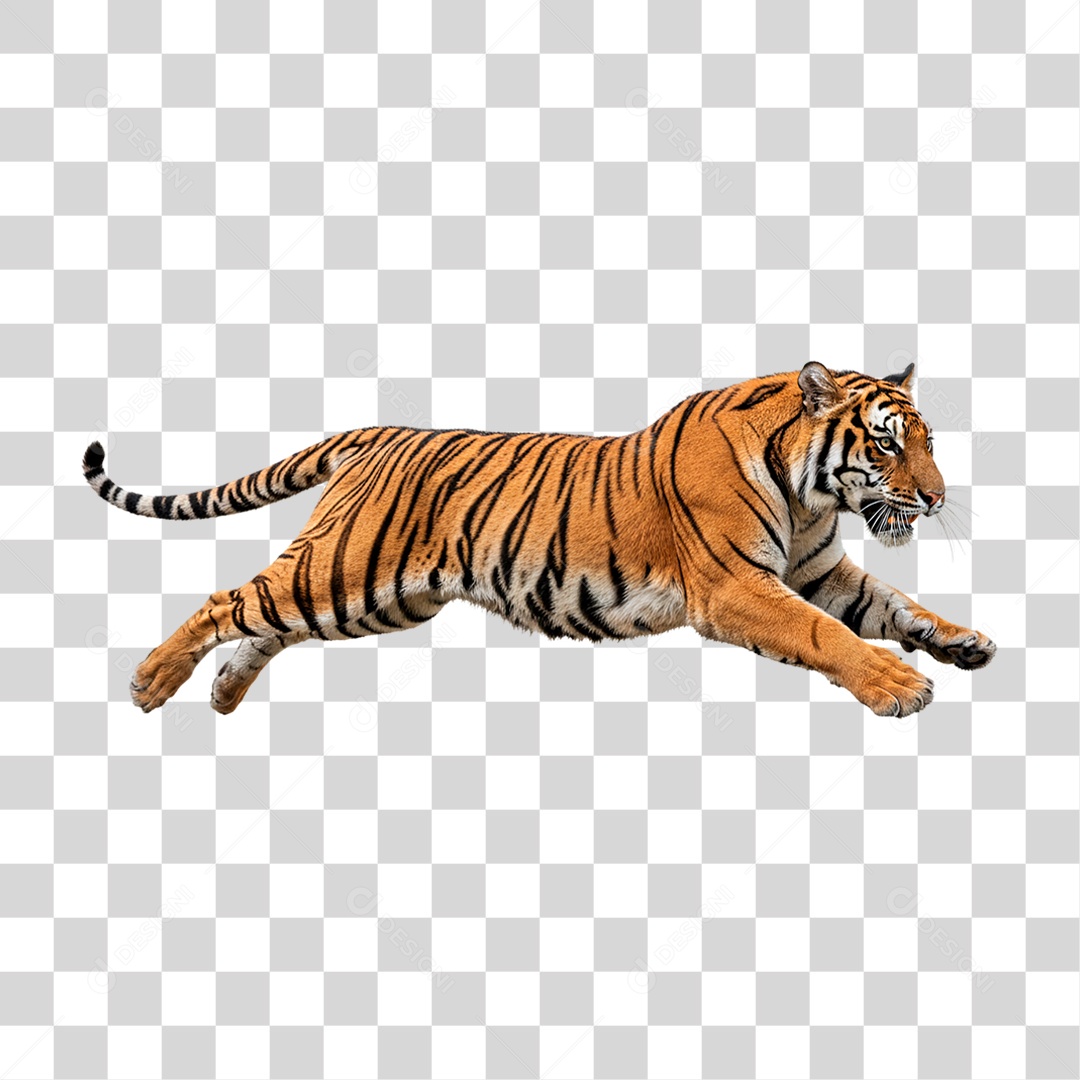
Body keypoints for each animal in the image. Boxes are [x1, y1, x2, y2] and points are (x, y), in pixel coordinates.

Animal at [83, 361, 995, 719]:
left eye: (929, 441)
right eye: (888, 445)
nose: (937, 498)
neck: (812, 497)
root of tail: (376, 434)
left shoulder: (818, 570)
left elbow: (895, 605)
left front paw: (963, 642)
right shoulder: (738, 587)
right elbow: (826, 634)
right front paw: (899, 686)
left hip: (375, 598)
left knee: (263, 622)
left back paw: (222, 693)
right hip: (347, 570)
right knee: (228, 600)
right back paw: (151, 683)